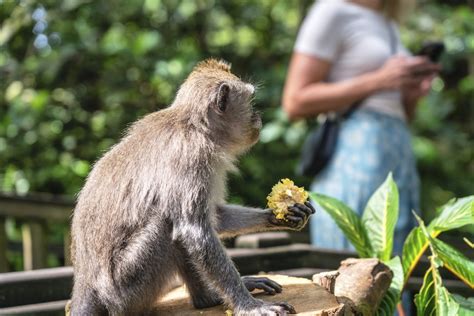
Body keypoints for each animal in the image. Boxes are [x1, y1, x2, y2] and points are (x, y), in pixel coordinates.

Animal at [69, 59, 314, 316]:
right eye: (251, 100)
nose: (258, 116)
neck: (196, 127)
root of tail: (84, 285)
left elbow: (216, 216)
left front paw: (281, 215)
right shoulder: (192, 157)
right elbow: (195, 231)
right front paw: (249, 306)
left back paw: (209, 298)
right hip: (126, 290)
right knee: (167, 223)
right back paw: (208, 298)